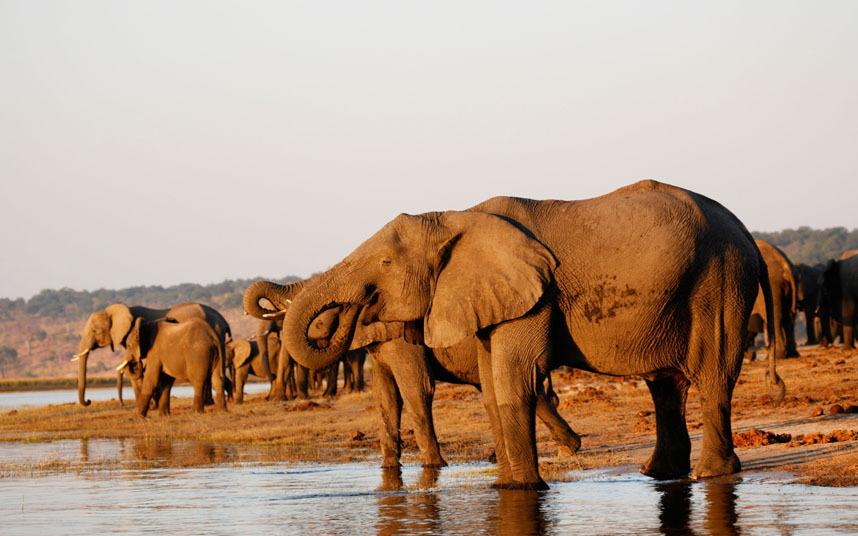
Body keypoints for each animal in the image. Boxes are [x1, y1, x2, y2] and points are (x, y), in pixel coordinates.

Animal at [244, 280, 584, 468]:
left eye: (325, 310)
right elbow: (386, 398)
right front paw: (387, 468)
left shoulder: (399, 334)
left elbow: (415, 389)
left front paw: (436, 466)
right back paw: (568, 446)